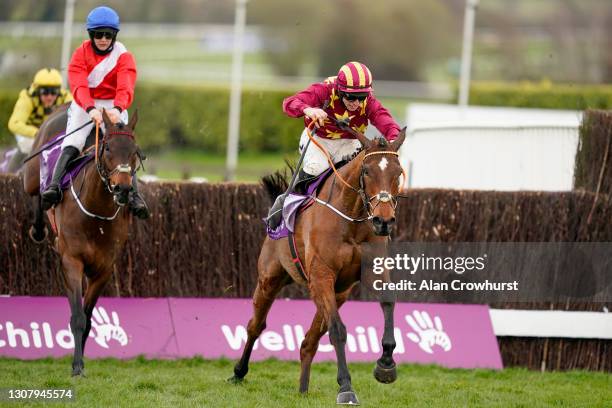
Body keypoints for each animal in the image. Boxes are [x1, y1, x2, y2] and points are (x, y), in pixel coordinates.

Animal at [23, 109, 141, 376]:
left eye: (135, 151)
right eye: (107, 148)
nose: (123, 188)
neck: (96, 212)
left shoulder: (103, 270)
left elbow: (87, 319)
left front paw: (81, 360)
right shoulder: (72, 261)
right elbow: (77, 317)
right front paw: (77, 366)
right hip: (31, 175)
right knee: (35, 193)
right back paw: (40, 221)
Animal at [230, 128, 406, 404]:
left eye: (397, 172)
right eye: (367, 171)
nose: (383, 221)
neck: (351, 219)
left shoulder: (369, 272)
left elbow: (388, 301)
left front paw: (386, 365)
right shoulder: (321, 276)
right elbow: (338, 331)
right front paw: (346, 387)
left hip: (338, 293)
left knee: (308, 342)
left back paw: (303, 388)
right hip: (269, 279)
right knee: (255, 326)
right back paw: (239, 372)